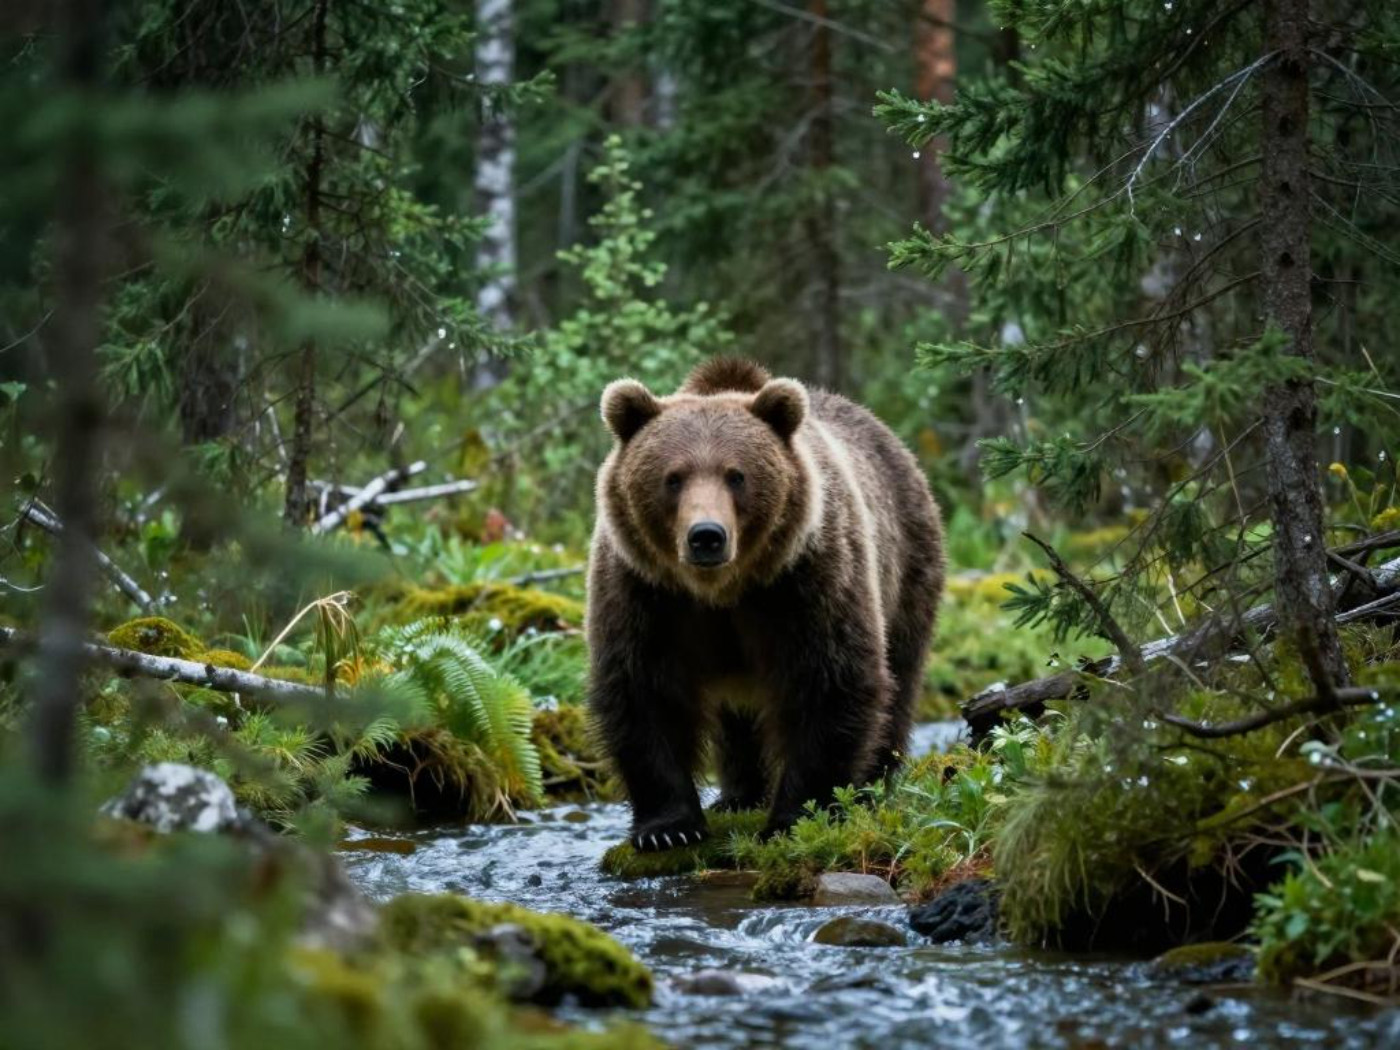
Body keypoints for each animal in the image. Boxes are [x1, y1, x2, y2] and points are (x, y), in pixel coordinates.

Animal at [587, 357, 945, 851]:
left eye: (736, 475)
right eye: (673, 477)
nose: (706, 536)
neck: (721, 590)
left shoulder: (804, 580)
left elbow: (828, 681)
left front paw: (795, 817)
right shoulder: (645, 591)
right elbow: (643, 691)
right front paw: (668, 828)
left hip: (907, 567)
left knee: (899, 680)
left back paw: (871, 785)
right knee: (737, 722)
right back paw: (738, 796)